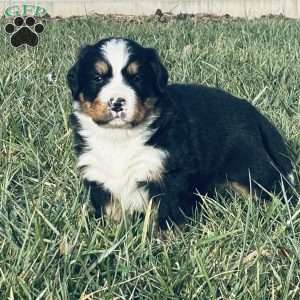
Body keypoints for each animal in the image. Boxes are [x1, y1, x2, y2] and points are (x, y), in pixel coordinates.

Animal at [67, 38, 294, 230]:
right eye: (97, 78)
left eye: (137, 78)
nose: (117, 103)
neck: (119, 139)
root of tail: (251, 110)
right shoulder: (98, 175)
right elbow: (110, 214)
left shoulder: (170, 175)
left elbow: (166, 217)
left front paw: (162, 245)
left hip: (250, 168)